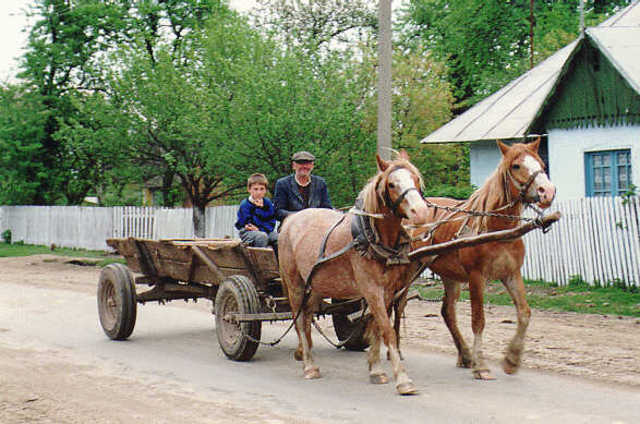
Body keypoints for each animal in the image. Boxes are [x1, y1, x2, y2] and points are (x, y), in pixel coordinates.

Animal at [278, 151, 430, 395]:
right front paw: (403, 380)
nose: (421, 212)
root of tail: (291, 220)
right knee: (300, 319)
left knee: (308, 316)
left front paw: (376, 370)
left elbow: (377, 328)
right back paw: (309, 366)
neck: (371, 237)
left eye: (415, 179)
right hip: (295, 284)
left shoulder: (387, 292)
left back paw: (304, 352)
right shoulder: (372, 290)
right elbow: (388, 331)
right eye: (392, 184)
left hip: (317, 285)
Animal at [409, 139, 556, 380]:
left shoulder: (511, 274)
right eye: (516, 165)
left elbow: (524, 313)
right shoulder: (476, 277)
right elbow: (478, 320)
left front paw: (512, 359)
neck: (496, 230)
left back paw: (465, 355)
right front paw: (482, 366)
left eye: (542, 164)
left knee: (447, 312)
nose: (548, 192)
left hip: (450, 277)